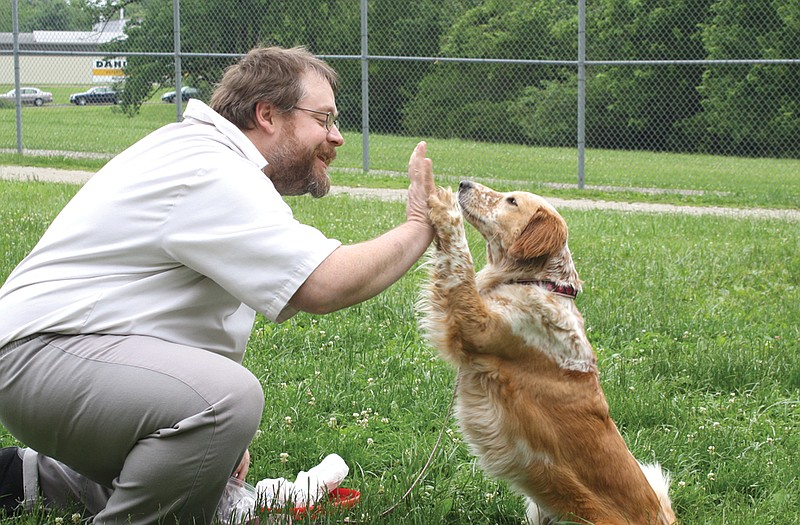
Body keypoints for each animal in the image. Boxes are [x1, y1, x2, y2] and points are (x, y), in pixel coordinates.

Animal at [422, 181, 680, 524]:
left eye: (511, 201)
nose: (464, 183)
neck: (541, 283)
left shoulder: (475, 326)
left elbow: (459, 261)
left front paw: (445, 207)